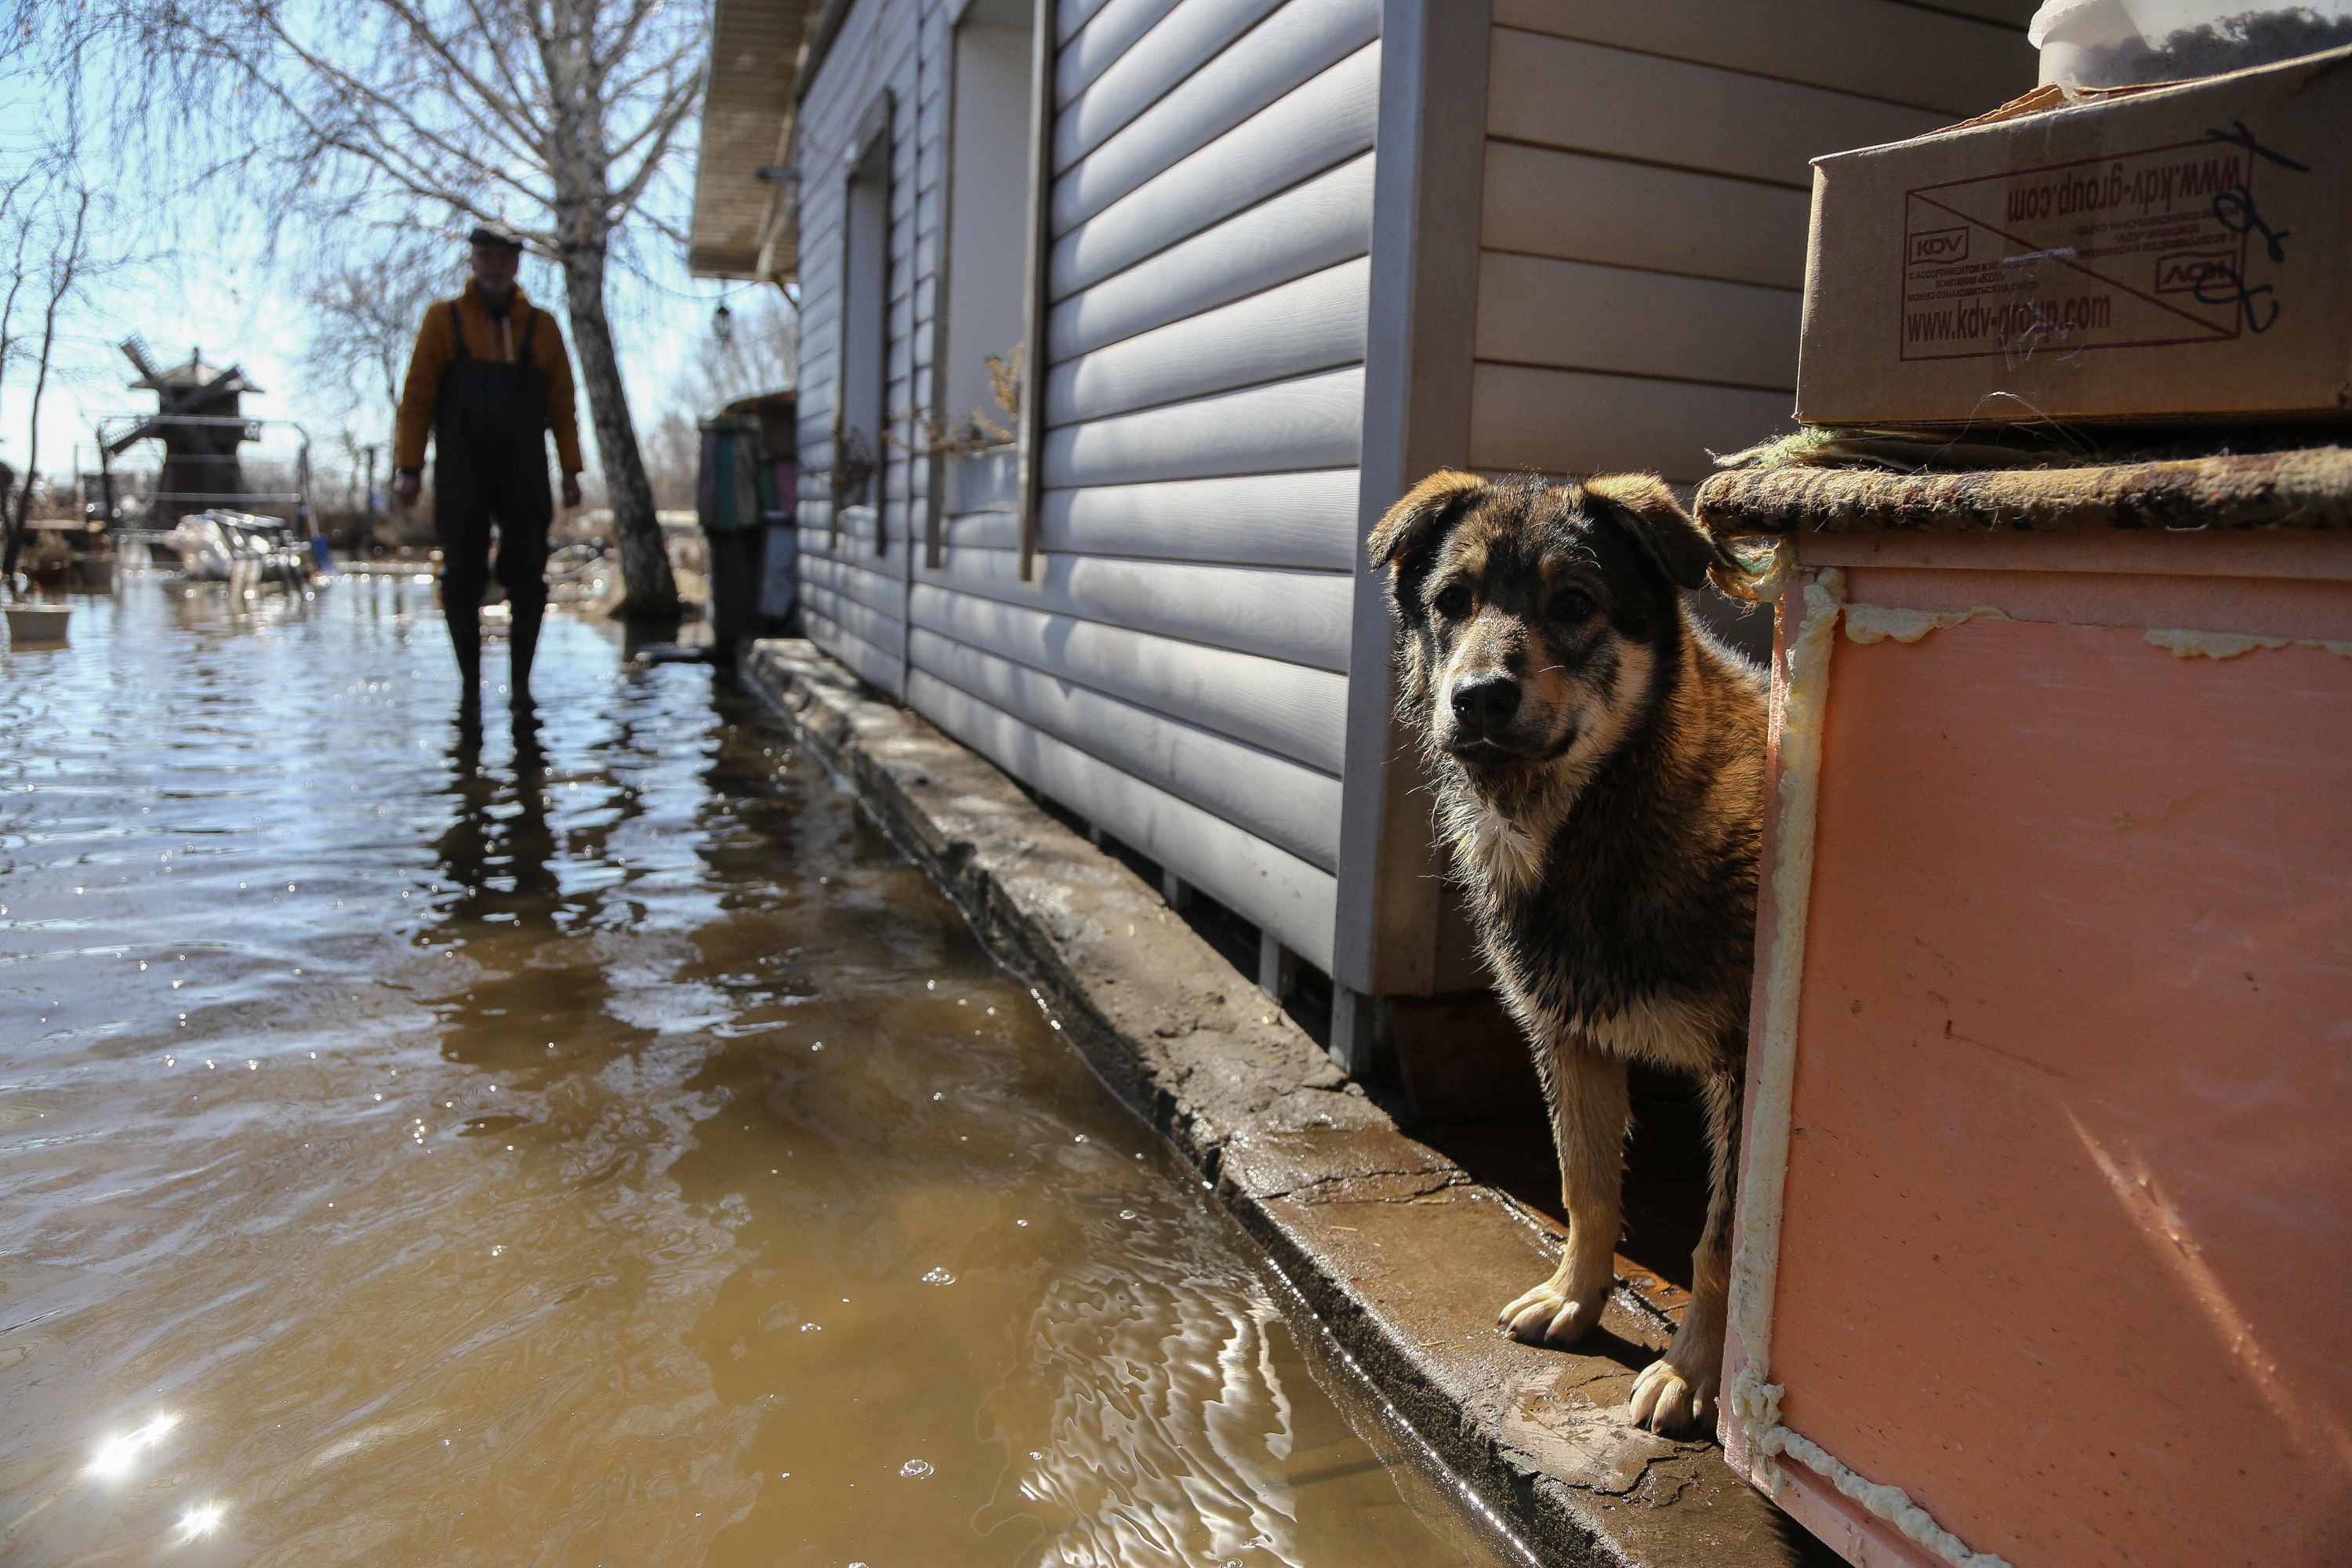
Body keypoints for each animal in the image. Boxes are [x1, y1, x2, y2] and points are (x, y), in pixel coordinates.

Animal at [1364, 470, 1769, 1439]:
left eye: (1575, 603)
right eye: (1451, 601)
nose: (1478, 697)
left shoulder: (1744, 1070)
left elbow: (1717, 1245)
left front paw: (1692, 1371)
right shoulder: (1569, 1035)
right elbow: (1584, 1185)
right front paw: (1575, 1299)